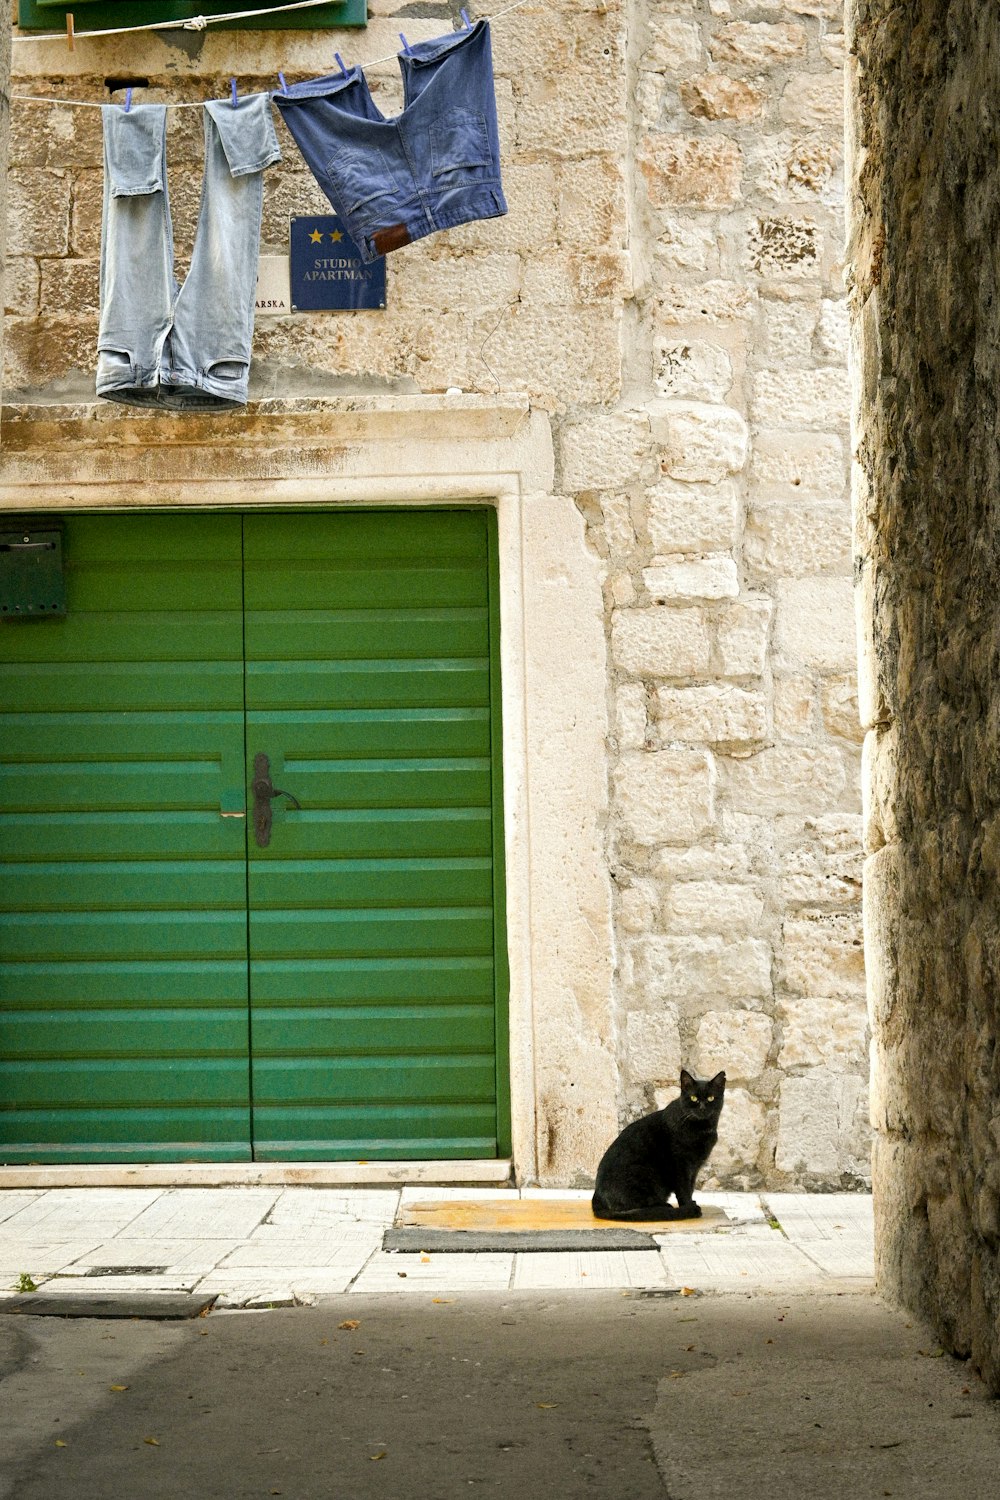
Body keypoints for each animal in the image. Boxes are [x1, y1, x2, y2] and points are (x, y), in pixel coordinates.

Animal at [590, 1068, 722, 1218]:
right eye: (694, 1098)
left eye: (711, 1098)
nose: (702, 1107)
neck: (702, 1129)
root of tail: (596, 1195)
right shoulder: (680, 1165)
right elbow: (684, 1189)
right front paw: (688, 1206)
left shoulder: (695, 1167)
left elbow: (691, 1186)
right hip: (646, 1173)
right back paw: (666, 1208)